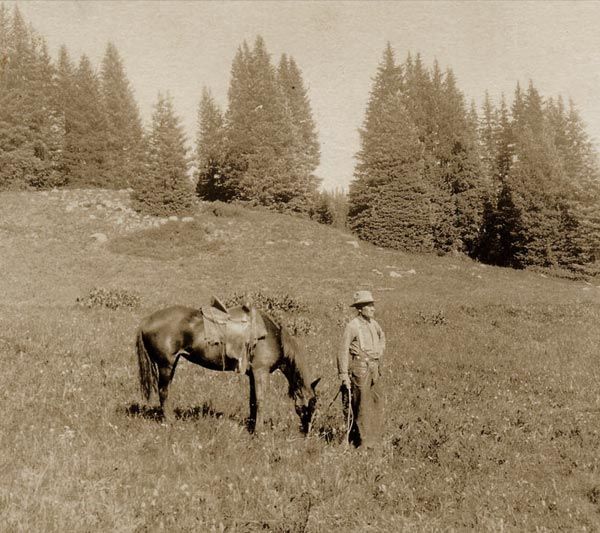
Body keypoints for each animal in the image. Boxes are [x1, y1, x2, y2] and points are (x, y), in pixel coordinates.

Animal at [134, 304, 322, 432]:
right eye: (311, 404)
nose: (307, 431)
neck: (272, 337)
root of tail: (146, 320)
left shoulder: (253, 375)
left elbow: (252, 401)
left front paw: (251, 426)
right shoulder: (260, 372)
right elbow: (260, 401)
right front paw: (258, 432)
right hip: (166, 365)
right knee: (163, 392)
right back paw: (170, 421)